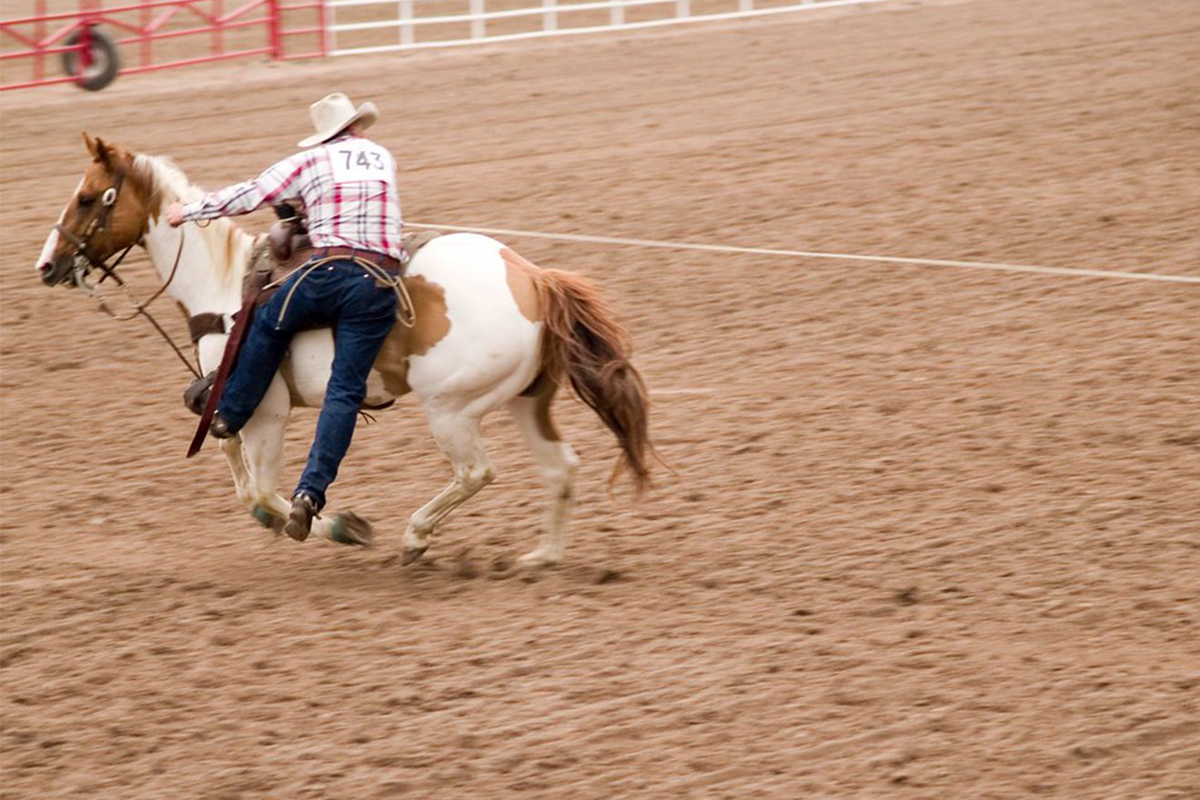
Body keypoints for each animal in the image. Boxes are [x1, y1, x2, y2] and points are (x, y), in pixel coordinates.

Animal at [37, 134, 652, 566]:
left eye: (87, 198)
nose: (47, 264)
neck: (225, 288)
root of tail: (533, 278)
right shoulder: (230, 404)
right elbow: (241, 478)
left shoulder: (265, 409)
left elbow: (261, 490)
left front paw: (338, 525)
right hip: (526, 400)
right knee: (560, 467)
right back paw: (542, 556)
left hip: (451, 409)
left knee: (477, 472)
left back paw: (415, 536)